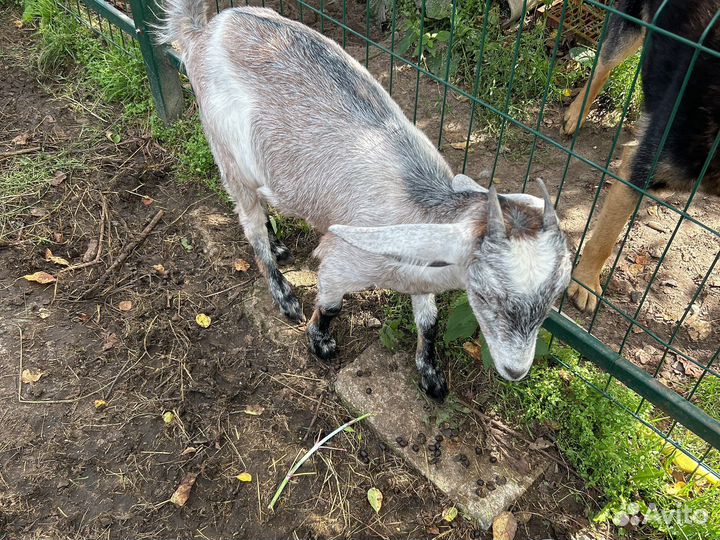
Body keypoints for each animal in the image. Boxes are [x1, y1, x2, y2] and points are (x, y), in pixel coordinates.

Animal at [156, 2, 573, 399]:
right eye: (485, 294)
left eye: (556, 296)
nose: (516, 371)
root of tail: (204, 32)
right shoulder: (342, 261)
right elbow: (331, 304)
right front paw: (320, 342)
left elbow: (430, 320)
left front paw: (431, 375)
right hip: (227, 153)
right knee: (249, 220)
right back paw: (281, 289)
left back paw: (278, 246)